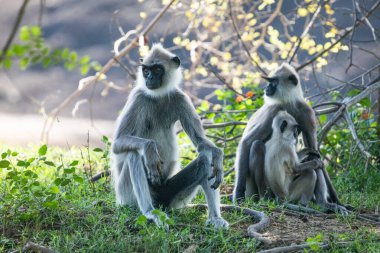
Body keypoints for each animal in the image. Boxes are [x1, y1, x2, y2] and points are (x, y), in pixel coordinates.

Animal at [232, 62, 348, 213]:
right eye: (269, 81)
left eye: (273, 82)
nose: (266, 88)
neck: (287, 102)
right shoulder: (274, 110)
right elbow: (246, 142)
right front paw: (238, 194)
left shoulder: (306, 111)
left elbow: (314, 150)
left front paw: (337, 201)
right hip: (251, 187)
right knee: (257, 145)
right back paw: (265, 197)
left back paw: (323, 203)